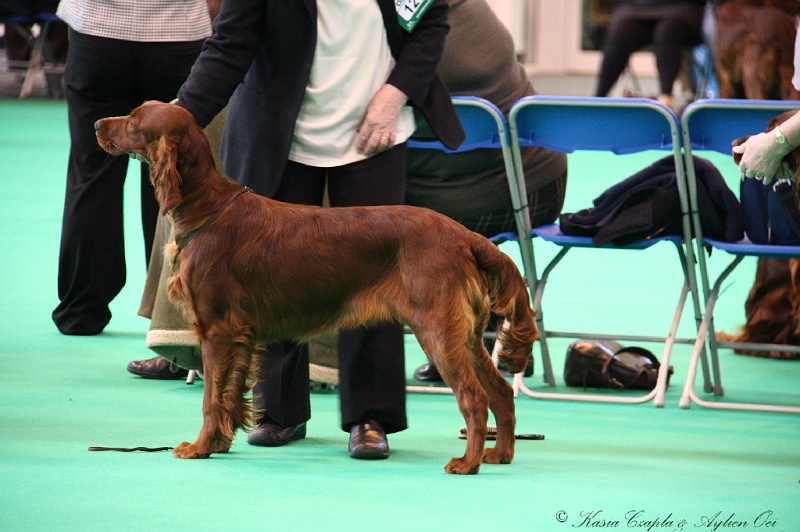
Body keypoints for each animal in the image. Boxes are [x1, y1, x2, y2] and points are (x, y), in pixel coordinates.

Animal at [97, 101, 540, 474]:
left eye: (134, 120)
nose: (98, 123)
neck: (206, 206)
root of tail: (465, 235)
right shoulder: (240, 335)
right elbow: (229, 395)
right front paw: (220, 444)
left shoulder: (217, 329)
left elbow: (211, 398)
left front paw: (200, 447)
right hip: (467, 334)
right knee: (502, 391)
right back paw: (499, 454)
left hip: (438, 329)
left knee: (474, 397)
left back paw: (467, 463)